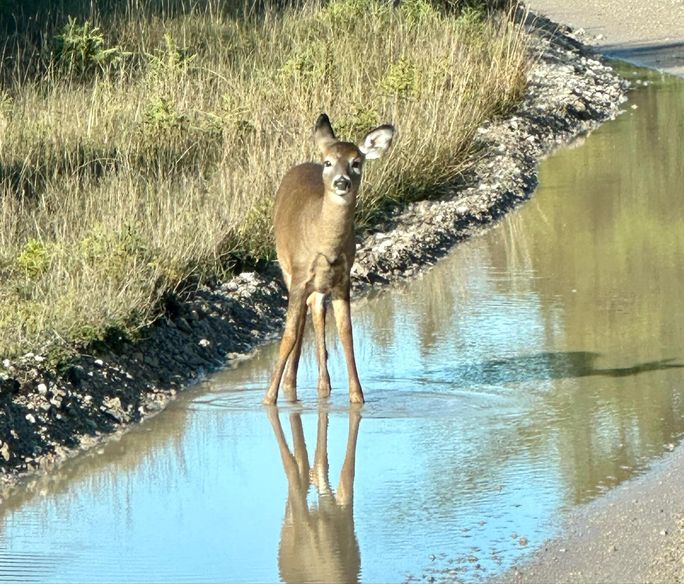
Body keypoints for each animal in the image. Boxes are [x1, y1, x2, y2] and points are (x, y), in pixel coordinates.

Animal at [263, 113, 395, 405]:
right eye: (329, 162)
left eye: (356, 162)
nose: (341, 182)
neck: (323, 242)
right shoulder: (299, 276)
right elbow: (289, 334)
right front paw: (268, 398)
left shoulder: (342, 279)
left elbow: (346, 332)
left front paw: (357, 396)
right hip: (286, 268)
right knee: (303, 320)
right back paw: (290, 382)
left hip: (320, 285)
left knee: (316, 313)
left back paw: (322, 384)